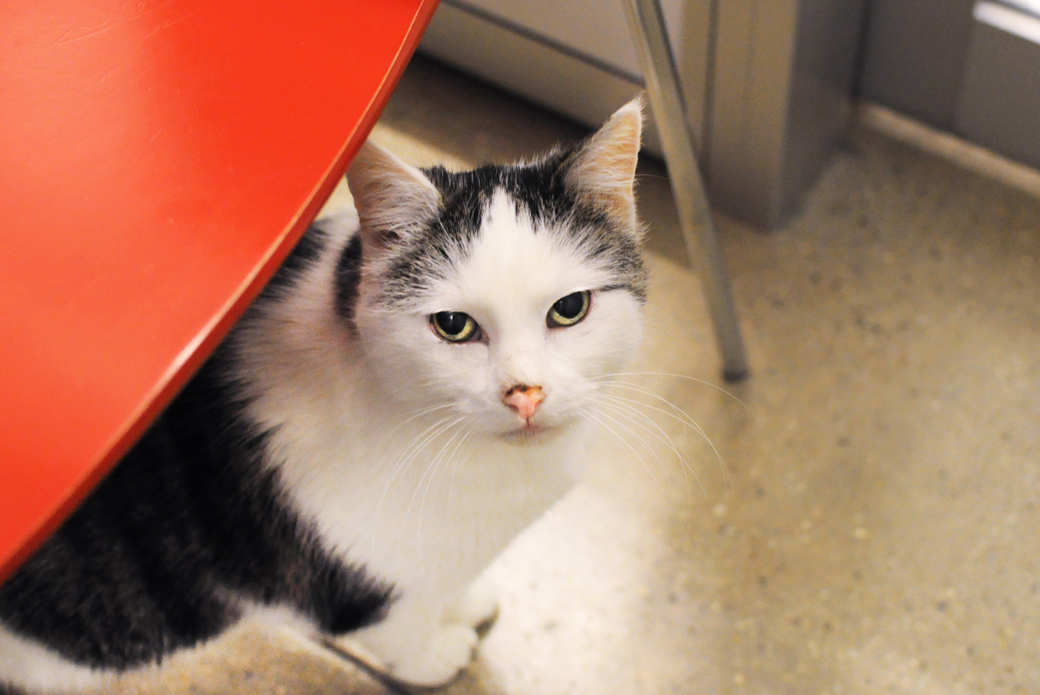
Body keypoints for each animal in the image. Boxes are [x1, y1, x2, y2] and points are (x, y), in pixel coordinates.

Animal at [0, 98, 644, 695]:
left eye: (570, 308)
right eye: (454, 325)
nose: (525, 394)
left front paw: (464, 602)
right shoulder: (358, 581)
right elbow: (401, 631)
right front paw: (439, 655)